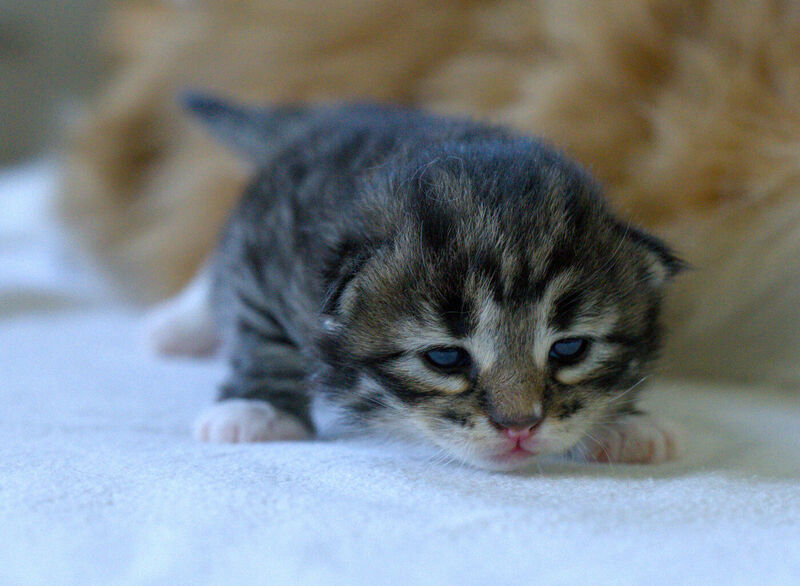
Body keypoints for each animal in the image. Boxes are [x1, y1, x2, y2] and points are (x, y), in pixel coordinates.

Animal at [155, 96, 680, 470]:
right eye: (445, 358)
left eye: (570, 349)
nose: (519, 427)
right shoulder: (265, 246)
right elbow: (259, 332)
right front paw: (257, 408)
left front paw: (621, 425)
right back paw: (178, 328)